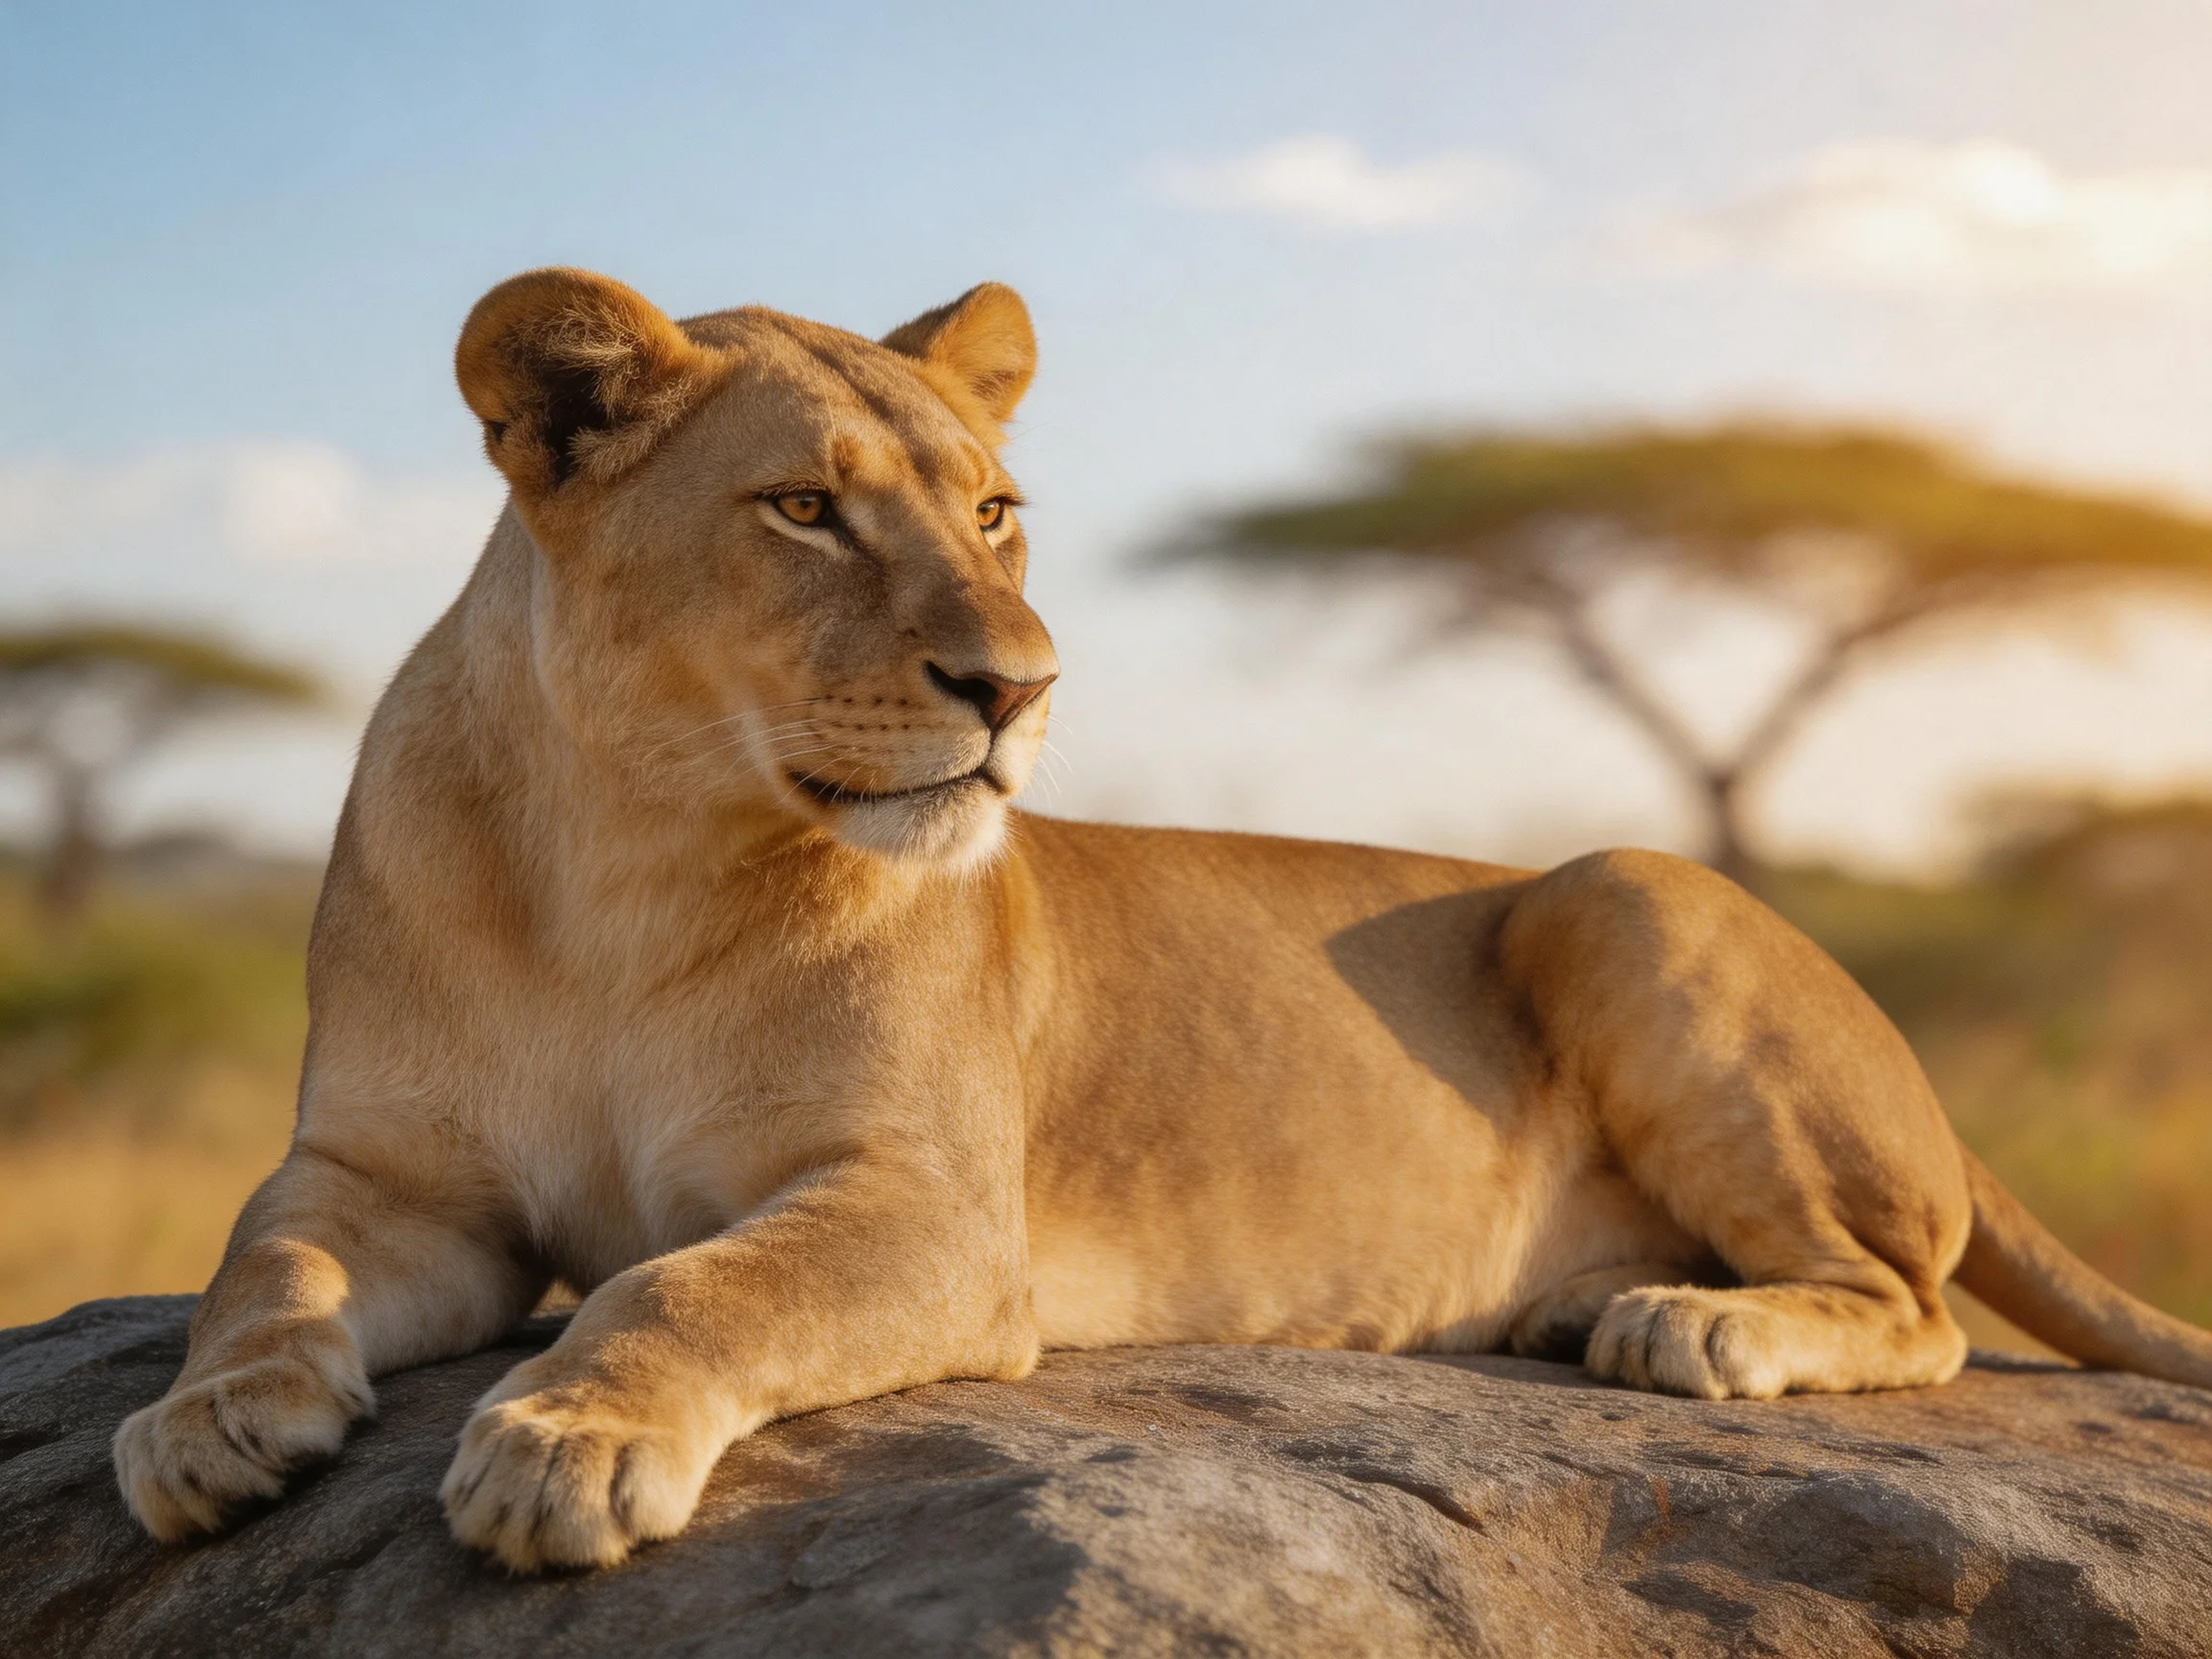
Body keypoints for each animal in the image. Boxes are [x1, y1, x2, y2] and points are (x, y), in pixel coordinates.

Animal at [112, 268, 2212, 1573]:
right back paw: (1585, 1300)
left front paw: (566, 1439)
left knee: (1918, 1311)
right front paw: (209, 1427)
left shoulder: (936, 1215)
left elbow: (681, 1283)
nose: (1017, 686)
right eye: (803, 510)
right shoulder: (390, 1176)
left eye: (995, 511)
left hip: (1624, 889)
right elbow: (259, 1262)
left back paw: (1689, 1327)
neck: (627, 853)